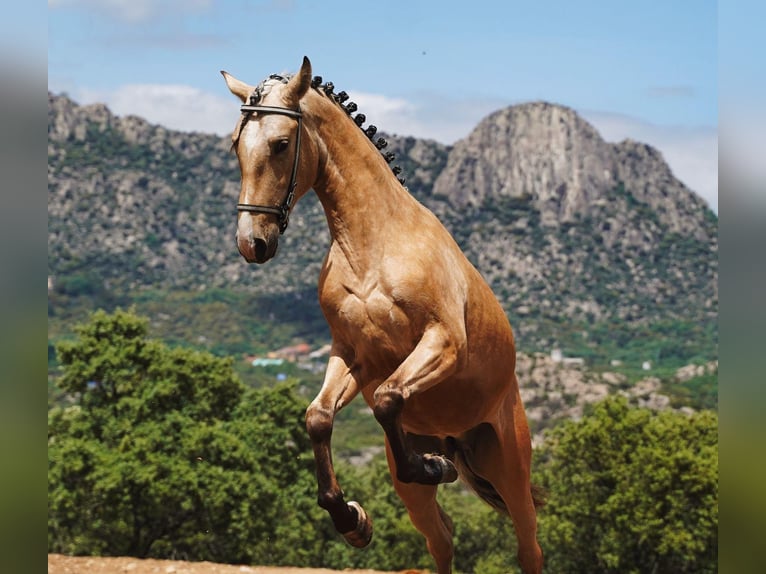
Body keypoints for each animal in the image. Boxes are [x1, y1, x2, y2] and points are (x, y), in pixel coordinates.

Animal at [222, 56, 544, 574]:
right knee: (442, 540)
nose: (253, 243)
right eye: (236, 144)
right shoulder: (354, 355)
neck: (373, 244)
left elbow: (390, 398)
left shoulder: (442, 343)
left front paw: (431, 466)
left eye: (281, 143)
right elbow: (319, 418)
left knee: (528, 546)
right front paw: (353, 519)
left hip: (509, 466)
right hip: (419, 490)